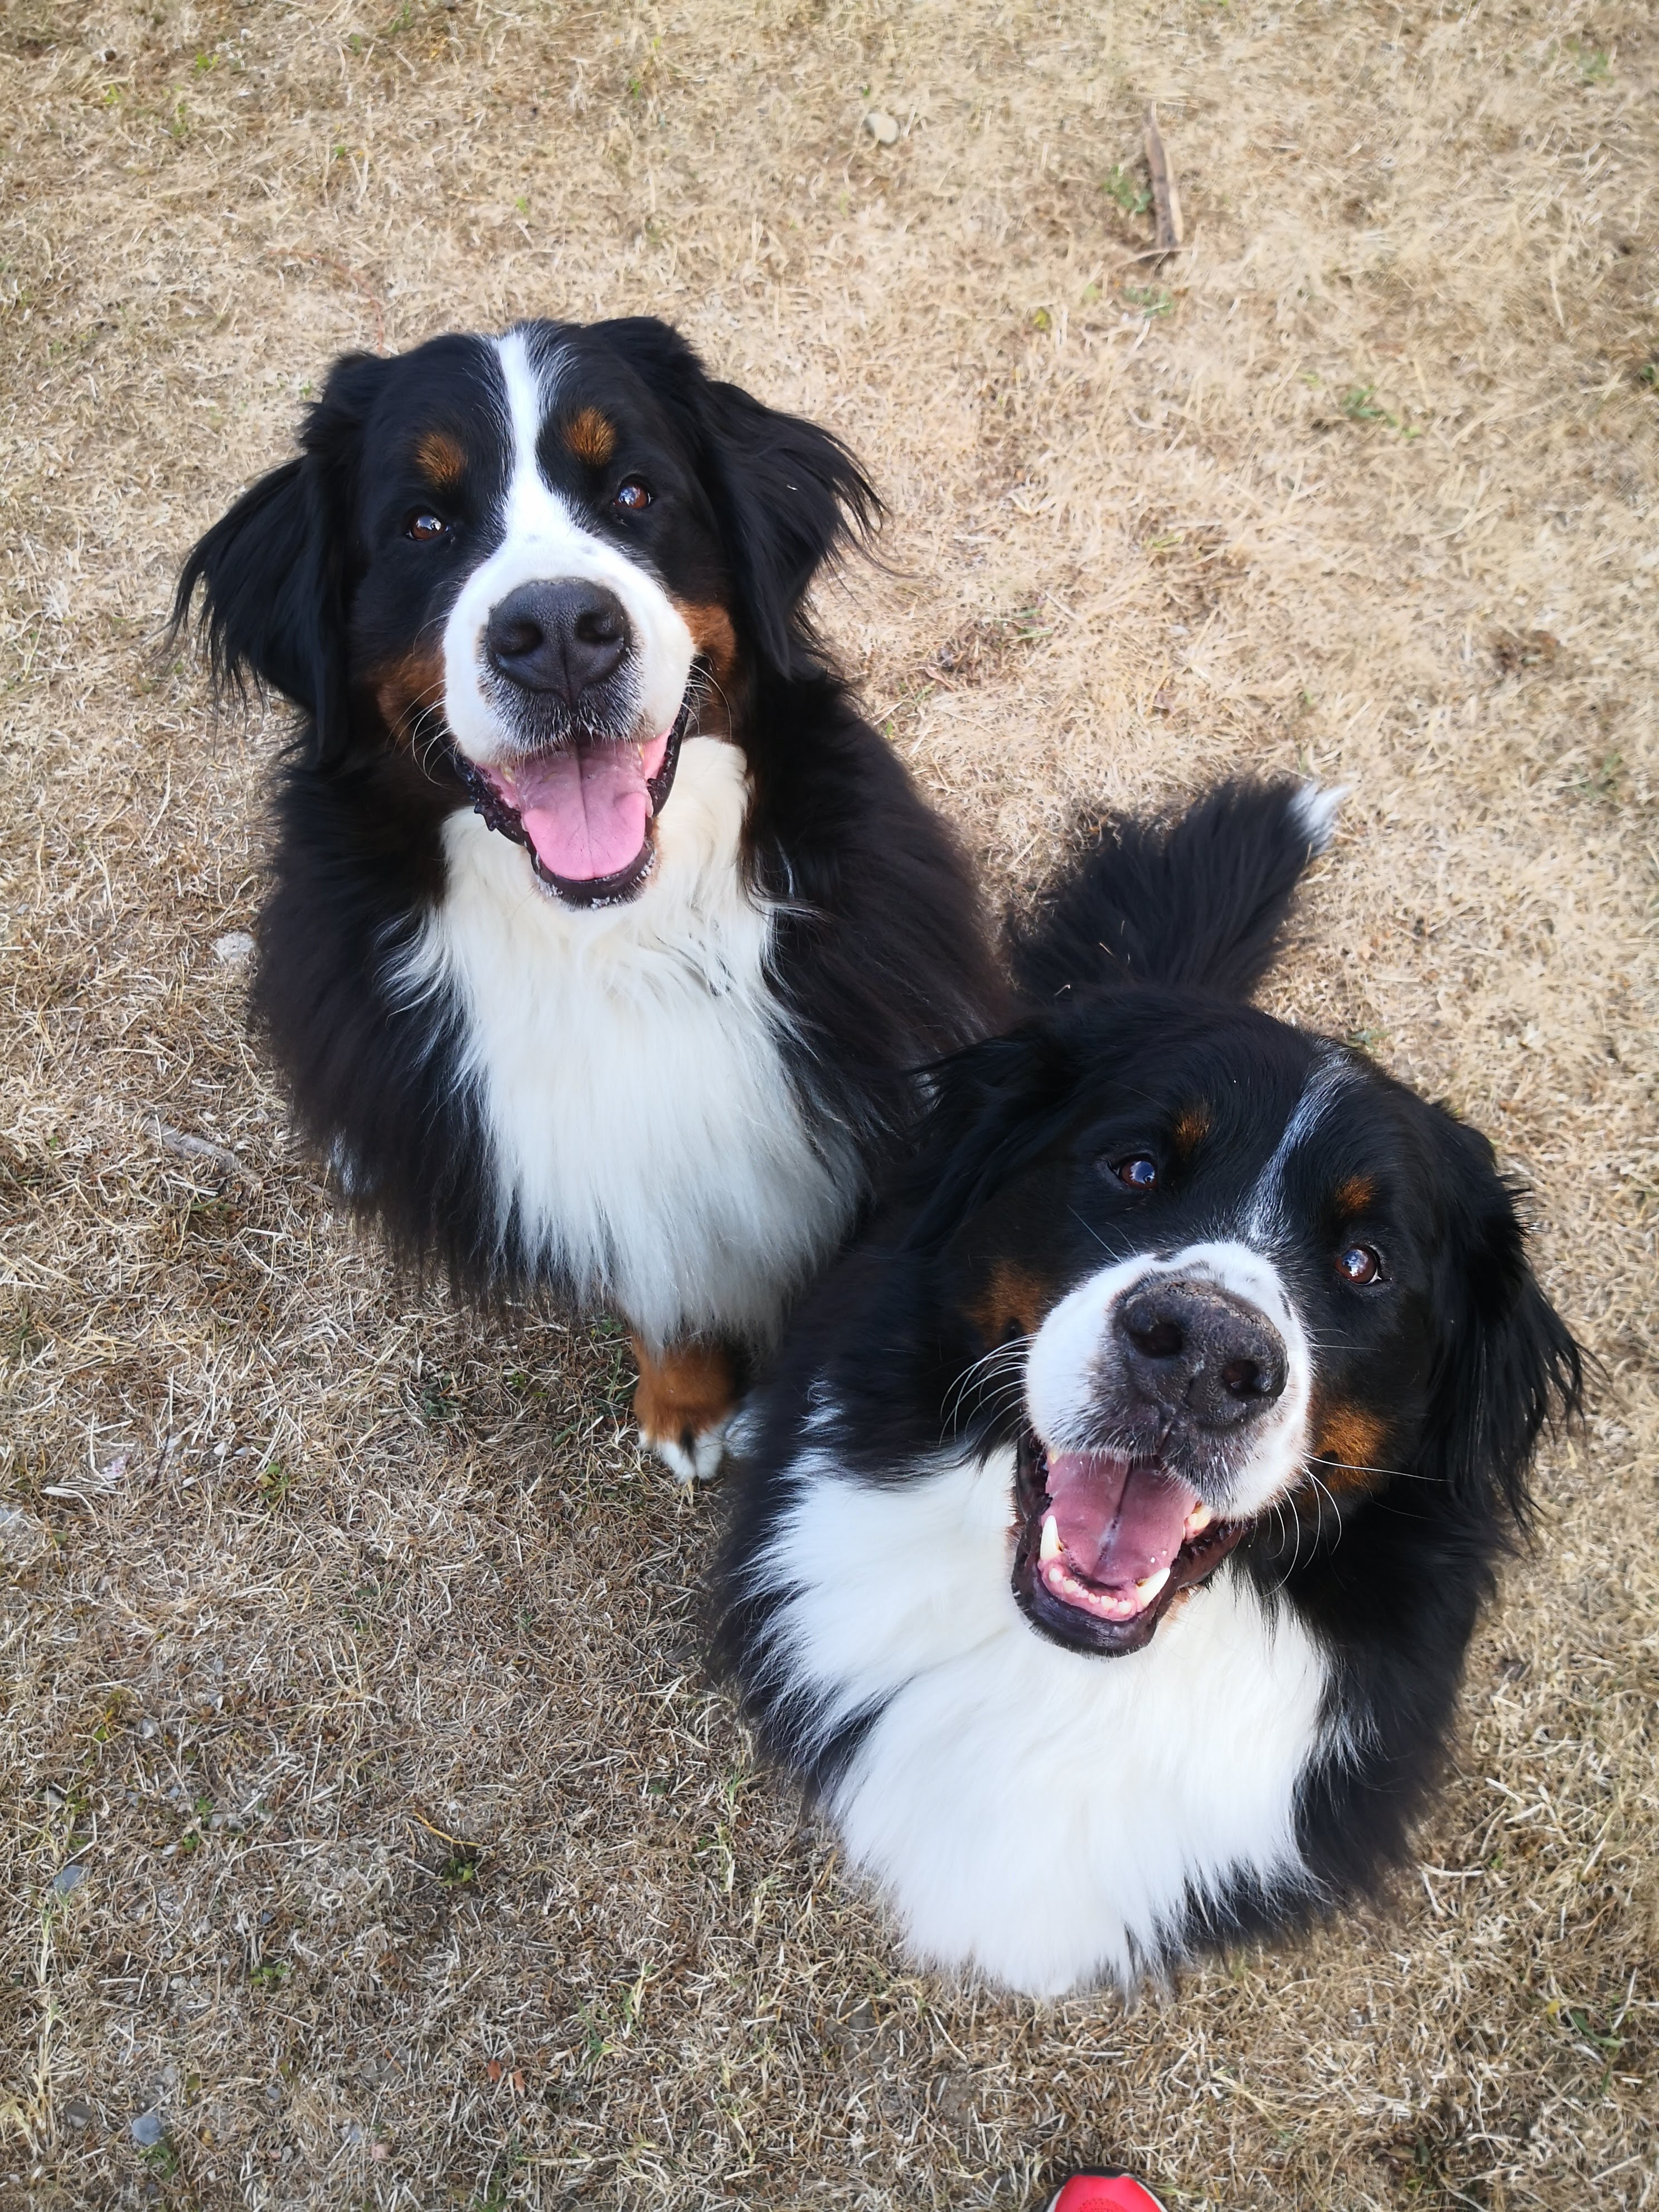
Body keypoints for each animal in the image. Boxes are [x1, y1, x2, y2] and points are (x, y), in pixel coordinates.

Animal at [174, 318, 1004, 1476]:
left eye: (635, 494)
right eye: (423, 524)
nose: (559, 628)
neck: (617, 942)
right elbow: (653, 1274)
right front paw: (684, 1401)